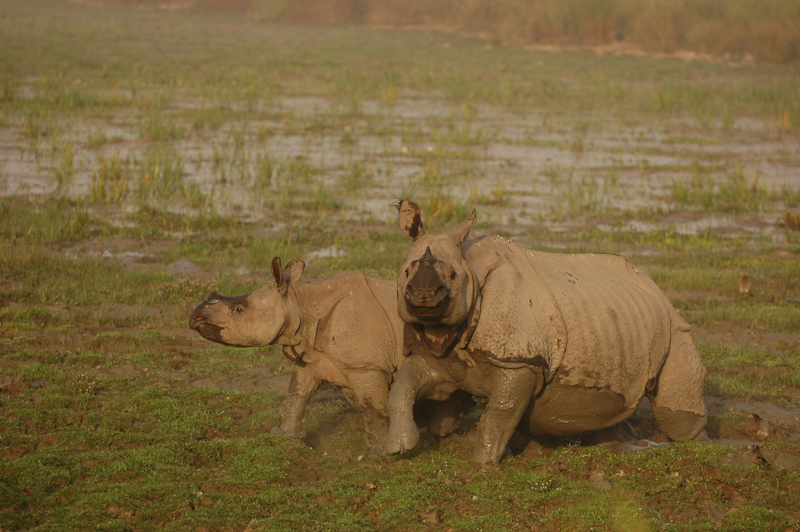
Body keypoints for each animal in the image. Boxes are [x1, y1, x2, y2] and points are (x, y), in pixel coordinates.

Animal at [191, 256, 472, 450]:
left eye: (239, 310)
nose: (196, 316)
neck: (301, 304)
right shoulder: (311, 357)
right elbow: (296, 397)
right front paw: (285, 437)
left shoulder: (366, 366)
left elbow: (375, 410)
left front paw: (380, 453)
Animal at [388, 202, 708, 464]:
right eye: (405, 272)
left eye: (454, 276)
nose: (423, 295)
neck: (472, 269)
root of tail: (657, 290)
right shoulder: (434, 353)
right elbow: (404, 385)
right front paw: (400, 447)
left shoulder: (520, 360)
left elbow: (499, 413)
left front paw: (482, 464)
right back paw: (615, 445)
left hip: (675, 328)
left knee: (674, 415)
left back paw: (696, 445)